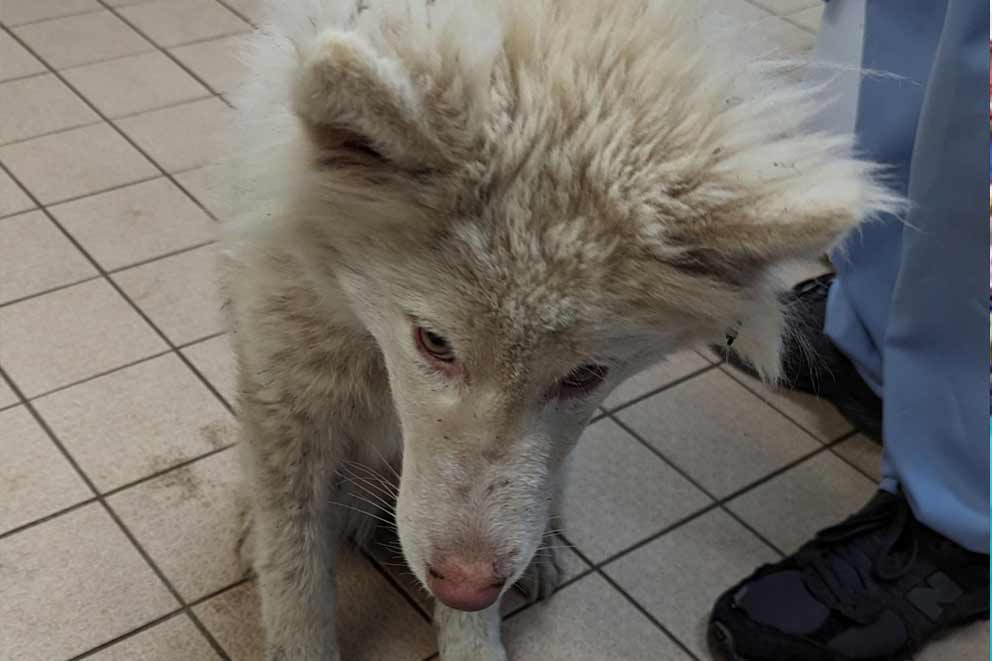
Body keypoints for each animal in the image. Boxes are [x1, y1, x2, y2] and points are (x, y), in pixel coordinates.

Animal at [219, 1, 900, 656]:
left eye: (586, 374)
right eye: (434, 343)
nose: (465, 586)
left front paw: (476, 638)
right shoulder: (290, 406)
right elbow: (296, 584)